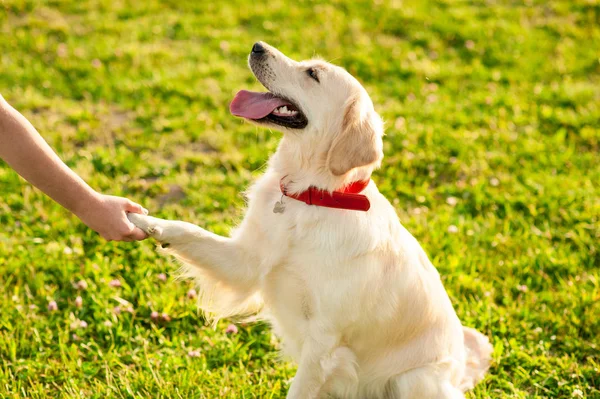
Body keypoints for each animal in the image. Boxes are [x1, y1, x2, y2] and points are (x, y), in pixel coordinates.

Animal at [127, 42, 492, 398]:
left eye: (312, 74)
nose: (257, 46)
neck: (308, 196)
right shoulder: (245, 261)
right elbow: (189, 232)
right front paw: (136, 218)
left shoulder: (325, 341)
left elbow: (301, 388)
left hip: (414, 379)